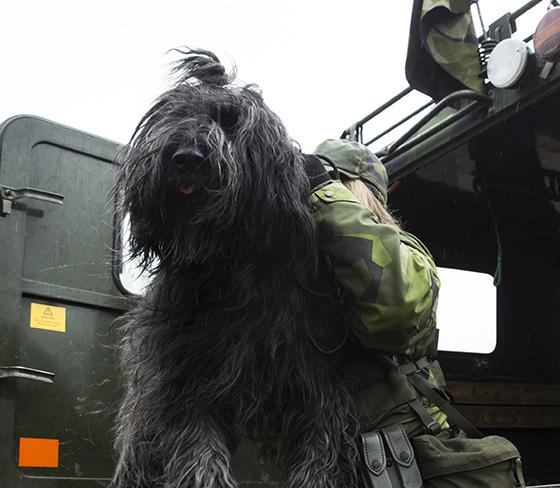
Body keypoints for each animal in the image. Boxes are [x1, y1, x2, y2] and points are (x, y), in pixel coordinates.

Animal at [111, 49, 360, 488]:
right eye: (174, 115)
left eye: (230, 121)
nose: (185, 157)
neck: (234, 260)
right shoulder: (182, 379)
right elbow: (199, 455)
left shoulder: (318, 384)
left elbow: (320, 453)